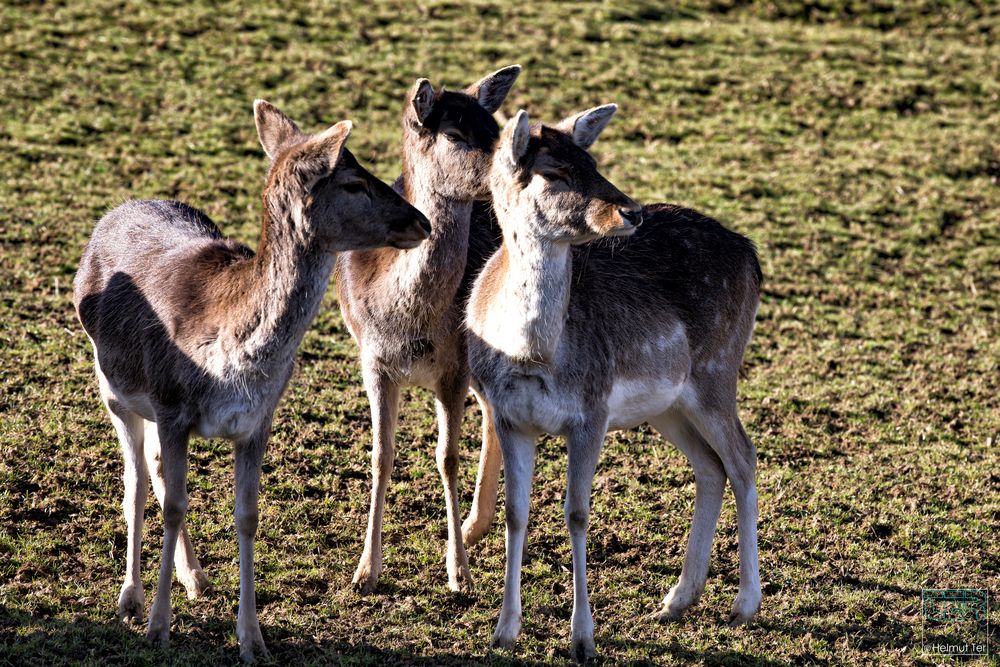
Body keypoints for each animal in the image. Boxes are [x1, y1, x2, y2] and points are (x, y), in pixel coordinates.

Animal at [72, 100, 428, 664]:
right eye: (352, 181)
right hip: (114, 389)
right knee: (135, 482)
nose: (422, 221)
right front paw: (158, 627)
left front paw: (252, 638)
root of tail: (116, 210)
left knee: (153, 468)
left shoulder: (258, 420)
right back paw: (130, 597)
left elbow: (247, 515)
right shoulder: (171, 406)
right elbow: (173, 504)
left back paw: (195, 578)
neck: (235, 357)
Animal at [338, 64, 524, 596]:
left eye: (495, 128)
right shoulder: (373, 361)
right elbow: (381, 455)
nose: (513, 168)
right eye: (454, 134)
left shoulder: (454, 366)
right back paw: (477, 526)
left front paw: (458, 573)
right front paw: (365, 572)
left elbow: (447, 458)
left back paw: (475, 527)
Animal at [464, 109, 760, 664]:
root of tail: (752, 254)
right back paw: (676, 600)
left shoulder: (592, 412)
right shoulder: (508, 416)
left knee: (743, 458)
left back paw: (744, 604)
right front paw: (503, 631)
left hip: (716, 371)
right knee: (710, 467)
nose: (631, 211)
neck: (532, 354)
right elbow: (516, 514)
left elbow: (578, 513)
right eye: (555, 172)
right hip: (669, 404)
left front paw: (582, 639)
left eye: (593, 161)